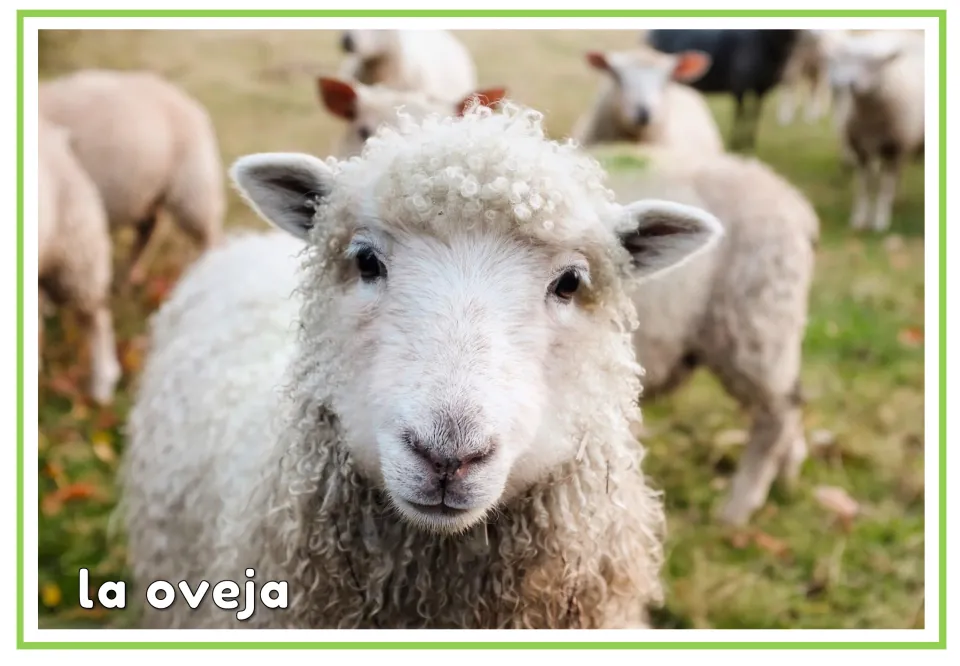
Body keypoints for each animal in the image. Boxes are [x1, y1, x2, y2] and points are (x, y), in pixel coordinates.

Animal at [38, 68, 225, 286]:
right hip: (150, 191)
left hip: (193, 189)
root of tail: (190, 103)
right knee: (149, 228)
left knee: (208, 233)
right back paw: (132, 274)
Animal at [643, 29, 803, 152]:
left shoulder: (762, 89)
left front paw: (749, 144)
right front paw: (736, 144)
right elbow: (740, 114)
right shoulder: (740, 84)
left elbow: (754, 116)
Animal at [823, 30, 925, 232]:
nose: (849, 83)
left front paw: (880, 221)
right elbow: (864, 186)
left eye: (874, 64)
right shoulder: (861, 149)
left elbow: (885, 187)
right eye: (845, 60)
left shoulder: (893, 148)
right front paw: (859, 219)